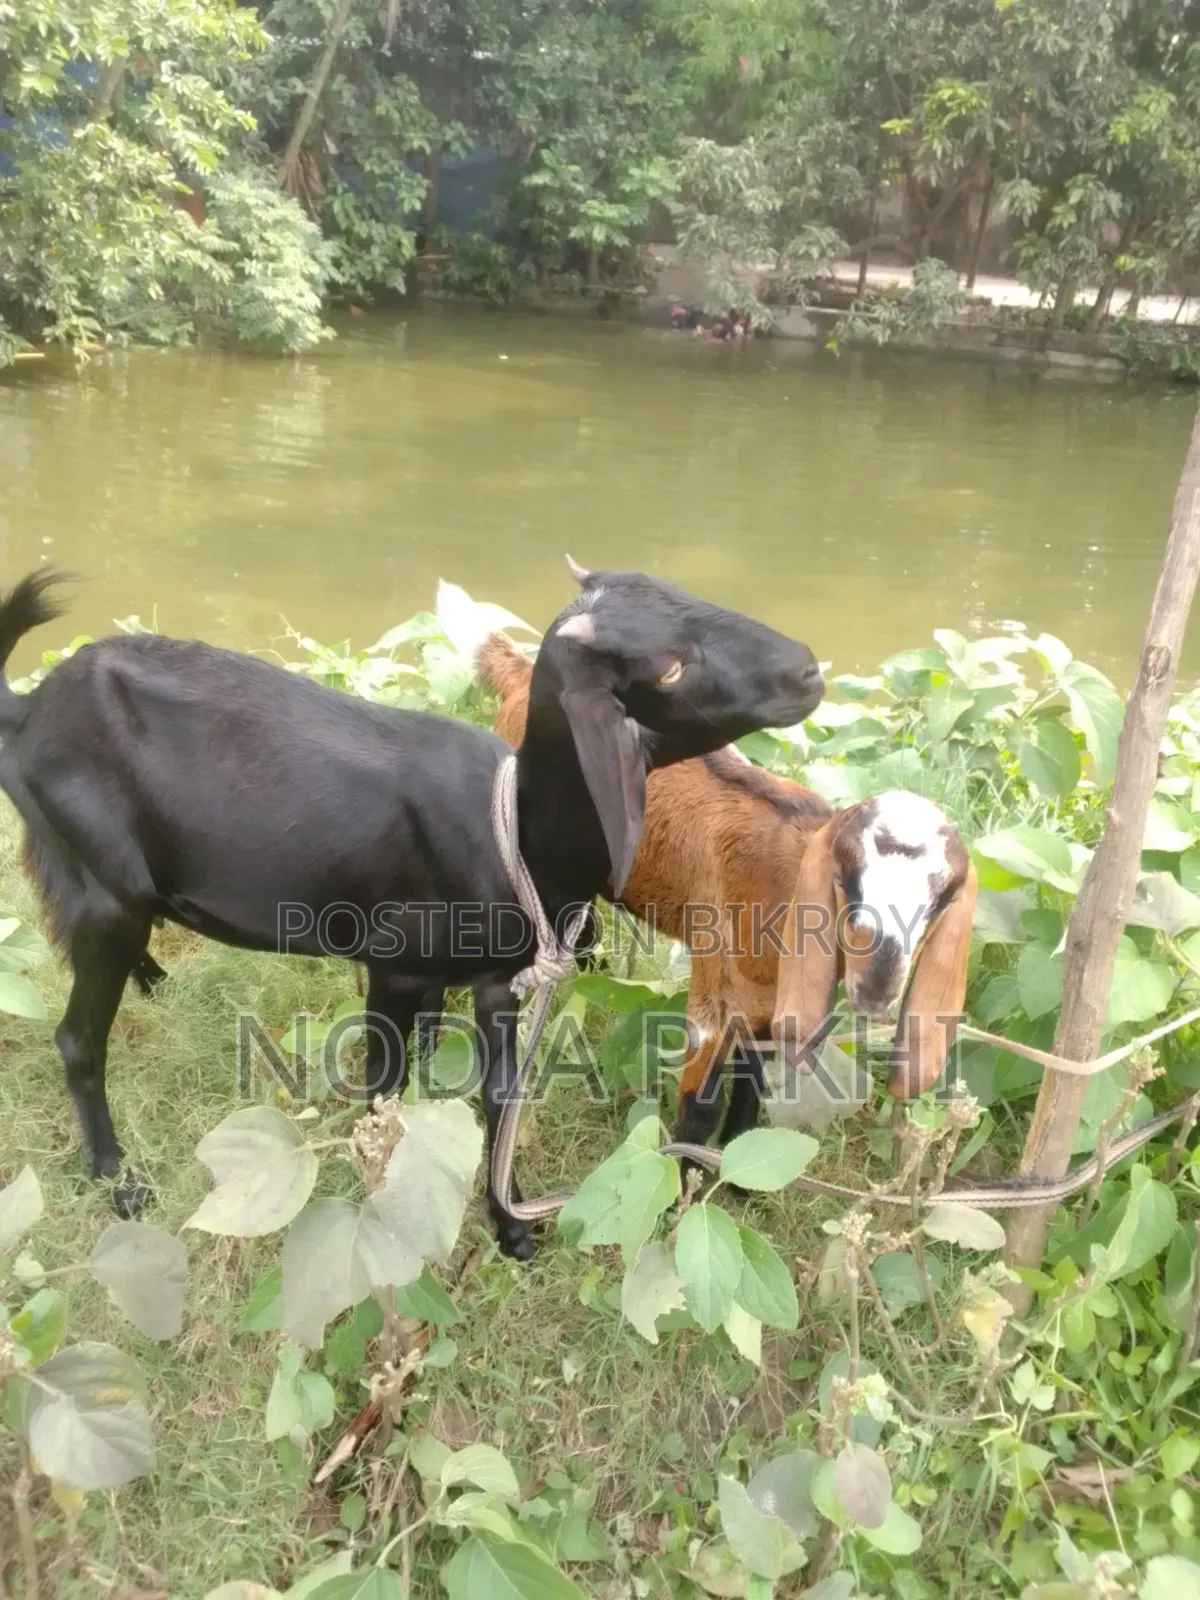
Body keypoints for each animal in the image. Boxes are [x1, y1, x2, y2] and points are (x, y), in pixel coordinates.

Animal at [474, 629, 834, 1152]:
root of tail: (522, 677)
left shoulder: (764, 1004)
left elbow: (751, 1085)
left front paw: (733, 1161)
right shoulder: (715, 983)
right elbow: (700, 1106)